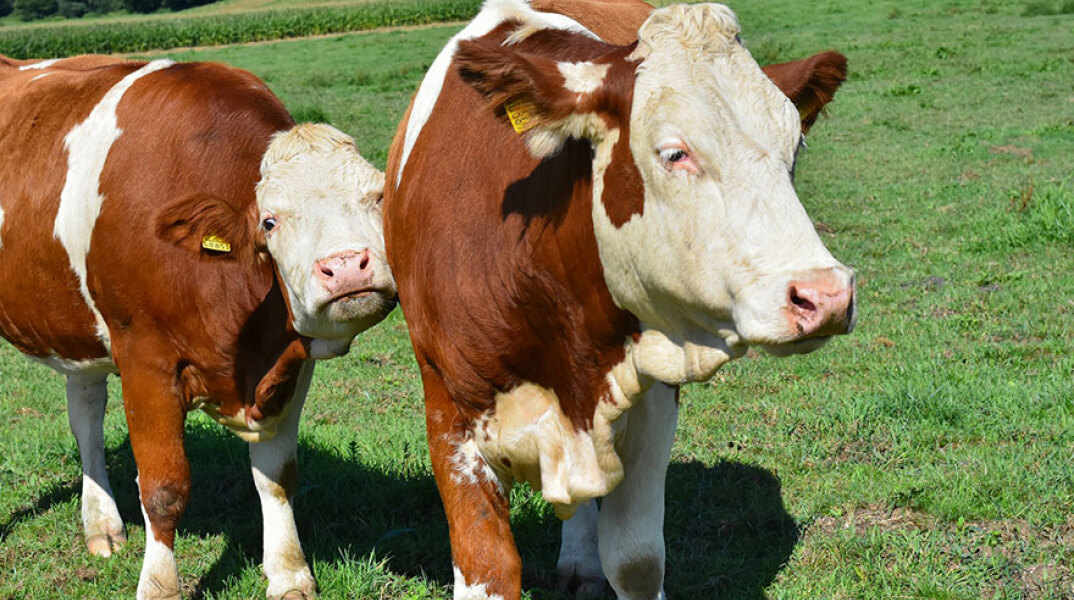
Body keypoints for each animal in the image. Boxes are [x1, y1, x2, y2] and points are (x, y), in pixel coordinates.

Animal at [0, 55, 395, 599]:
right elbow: (164, 487)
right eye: (269, 222)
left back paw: (102, 525)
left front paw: (288, 573)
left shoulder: (289, 362)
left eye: (378, 196)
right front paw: (159, 585)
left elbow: (278, 474)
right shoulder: (145, 359)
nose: (347, 267)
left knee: (85, 413)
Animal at [382, 1, 854, 599]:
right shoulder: (447, 408)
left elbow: (634, 558)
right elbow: (487, 566)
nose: (826, 294)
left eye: (794, 148)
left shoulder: (654, 393)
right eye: (674, 153)